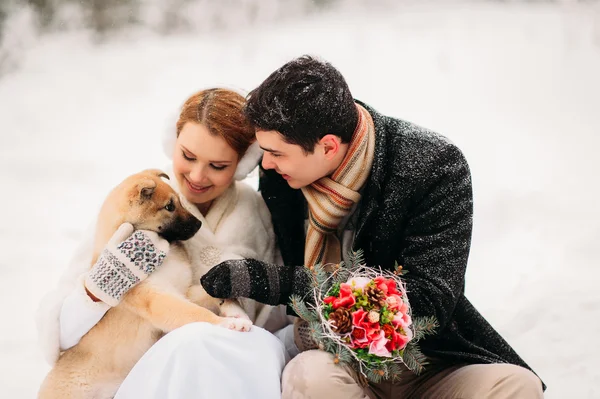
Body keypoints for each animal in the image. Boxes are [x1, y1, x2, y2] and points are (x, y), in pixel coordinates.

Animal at [38, 170, 251, 399]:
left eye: (179, 201)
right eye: (169, 207)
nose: (198, 224)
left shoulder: (181, 291)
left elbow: (208, 294)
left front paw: (235, 311)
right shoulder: (158, 300)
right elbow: (194, 312)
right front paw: (226, 324)